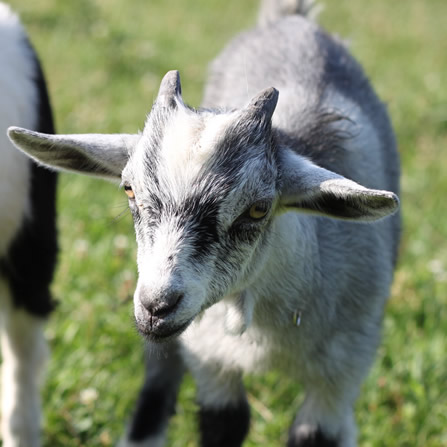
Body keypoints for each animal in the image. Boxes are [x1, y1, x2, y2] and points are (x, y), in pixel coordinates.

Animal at [7, 0, 400, 447]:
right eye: (129, 189)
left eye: (258, 209)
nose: (157, 305)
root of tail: (289, 20)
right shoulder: (210, 359)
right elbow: (223, 424)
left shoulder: (340, 374)